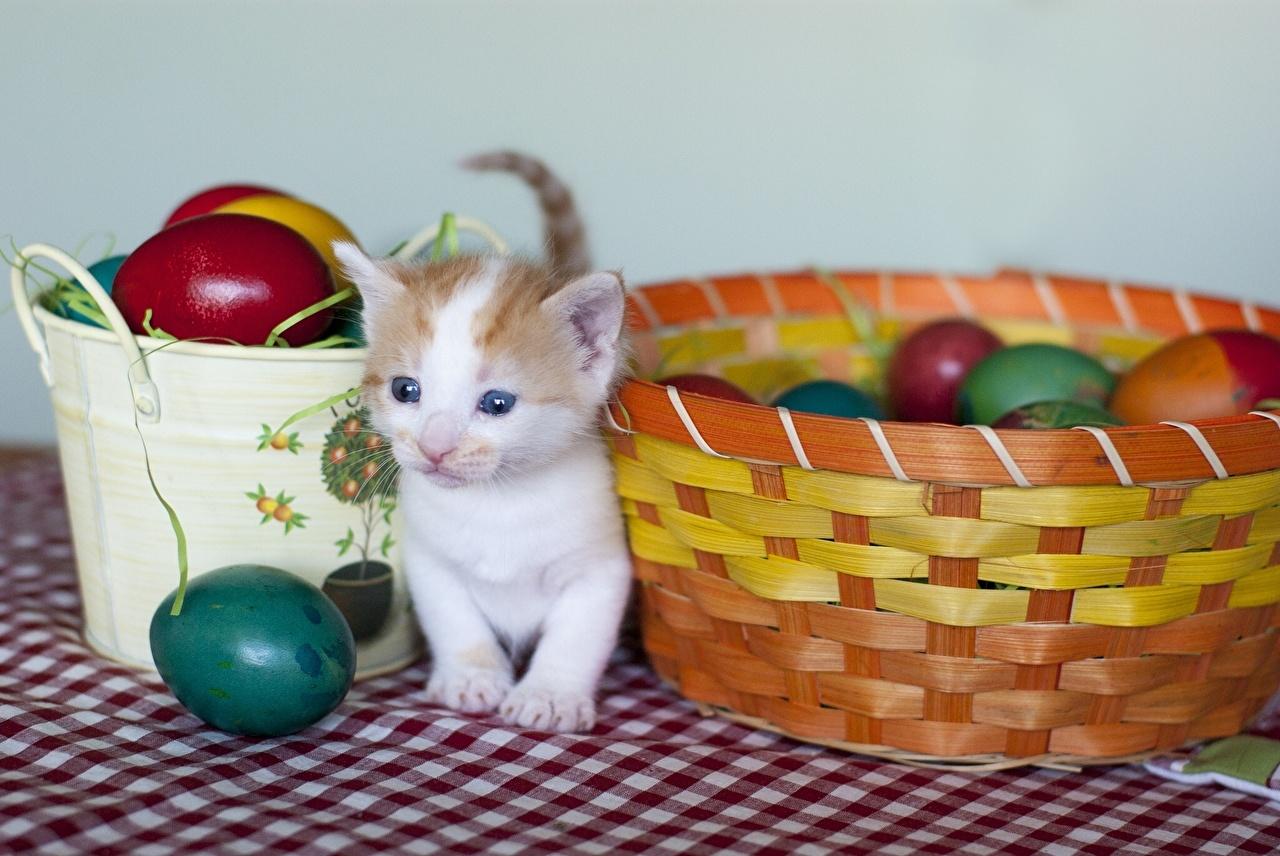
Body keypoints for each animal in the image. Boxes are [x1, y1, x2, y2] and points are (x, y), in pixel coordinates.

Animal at [330, 151, 629, 726]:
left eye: (496, 404)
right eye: (406, 390)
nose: (435, 446)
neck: (498, 502)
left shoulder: (601, 567)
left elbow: (576, 637)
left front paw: (549, 694)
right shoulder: (428, 558)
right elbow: (453, 618)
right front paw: (471, 676)